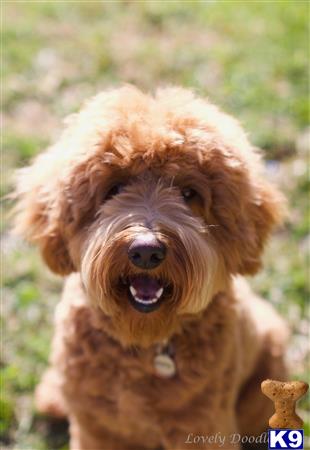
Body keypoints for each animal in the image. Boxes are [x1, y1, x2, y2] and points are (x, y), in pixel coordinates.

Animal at [12, 86, 288, 448]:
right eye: (114, 188)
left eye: (189, 193)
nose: (146, 251)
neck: (144, 341)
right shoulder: (96, 429)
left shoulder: (203, 427)